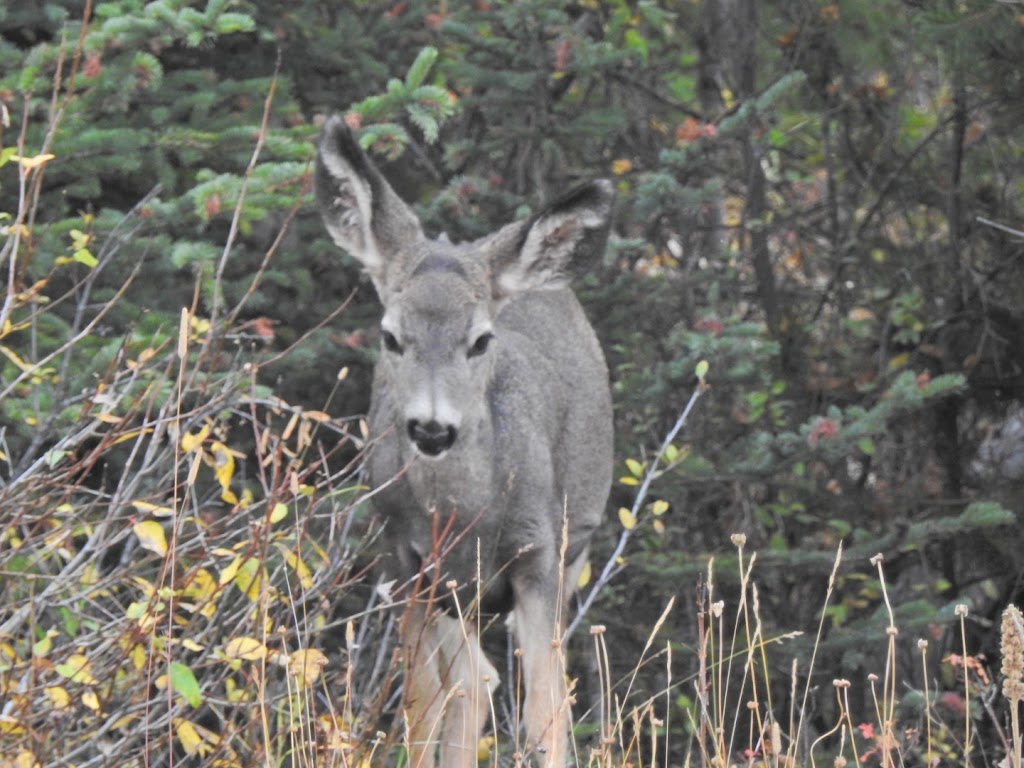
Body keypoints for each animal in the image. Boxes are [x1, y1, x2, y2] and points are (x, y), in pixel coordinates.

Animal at [315, 115, 610, 768]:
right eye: (390, 337)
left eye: (480, 340)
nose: (431, 428)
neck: (467, 514)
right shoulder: (406, 559)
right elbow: (427, 702)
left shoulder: (539, 553)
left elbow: (547, 711)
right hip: (452, 591)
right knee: (469, 684)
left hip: (573, 544)